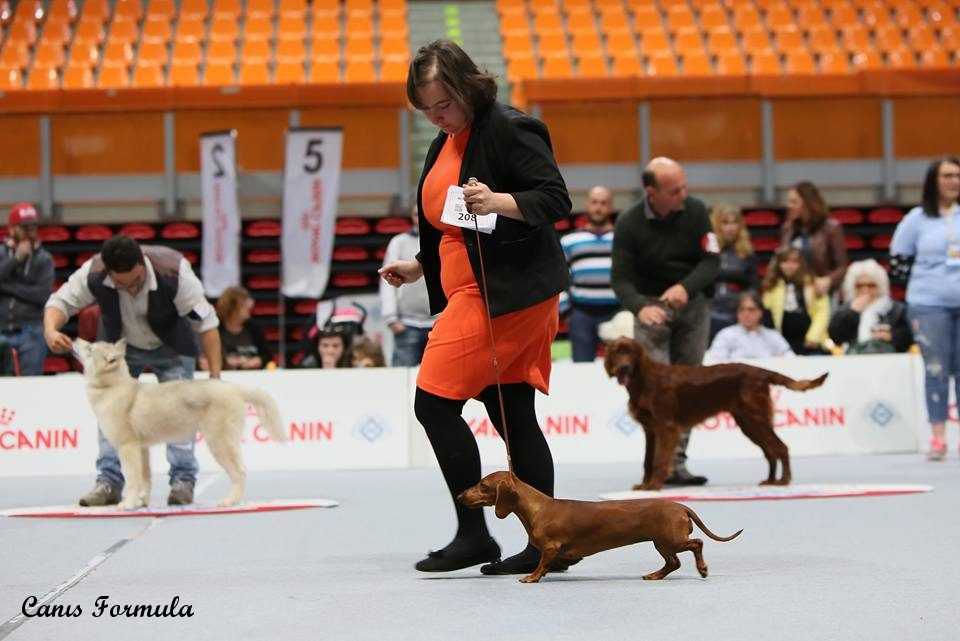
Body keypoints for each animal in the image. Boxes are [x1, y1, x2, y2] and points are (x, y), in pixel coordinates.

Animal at [75, 338, 284, 508]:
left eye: (90, 348)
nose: (75, 339)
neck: (112, 387)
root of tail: (232, 387)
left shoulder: (127, 448)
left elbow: (132, 479)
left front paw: (128, 504)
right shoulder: (141, 449)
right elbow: (145, 479)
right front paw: (142, 502)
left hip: (219, 444)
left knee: (240, 472)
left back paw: (230, 501)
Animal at [608, 336, 824, 490]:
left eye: (630, 352)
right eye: (617, 352)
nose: (623, 368)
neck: (644, 381)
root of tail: (761, 371)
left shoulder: (666, 428)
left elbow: (660, 460)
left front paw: (653, 485)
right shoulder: (650, 430)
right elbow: (647, 460)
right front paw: (644, 485)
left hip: (756, 419)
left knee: (780, 447)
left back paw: (783, 481)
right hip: (748, 423)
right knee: (770, 450)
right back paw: (770, 481)